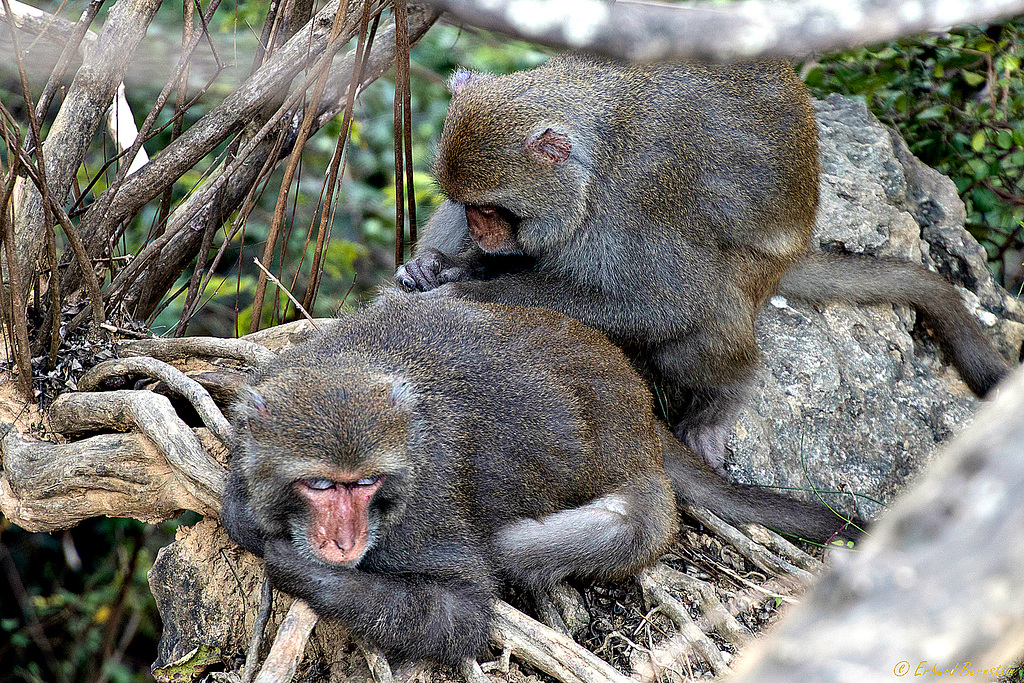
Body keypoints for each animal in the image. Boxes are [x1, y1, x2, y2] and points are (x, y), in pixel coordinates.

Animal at [222, 294, 856, 667]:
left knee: (618, 528)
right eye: (322, 486)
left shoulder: (424, 508)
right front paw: (250, 513)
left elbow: (459, 617)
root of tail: (639, 405)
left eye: (364, 484)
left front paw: (299, 569)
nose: (344, 540)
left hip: (623, 457)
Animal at [395, 53, 1011, 471]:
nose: (478, 232)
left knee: (705, 318)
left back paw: (724, 396)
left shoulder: (633, 205)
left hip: (752, 278)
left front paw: (465, 291)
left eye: (490, 209)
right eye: (466, 204)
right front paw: (436, 267)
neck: (592, 168)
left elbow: (667, 303)